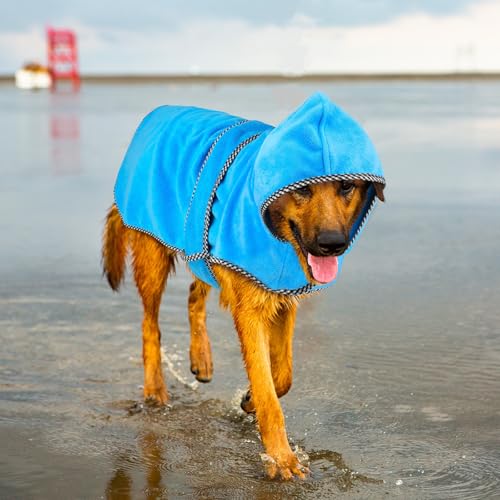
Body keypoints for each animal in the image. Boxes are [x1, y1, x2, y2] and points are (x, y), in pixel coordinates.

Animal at [100, 94, 382, 480]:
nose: (332, 244)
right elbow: (269, 390)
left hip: (202, 252)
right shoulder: (250, 310)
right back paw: (155, 388)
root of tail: (157, 114)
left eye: (346, 186)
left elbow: (283, 375)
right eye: (302, 189)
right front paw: (281, 458)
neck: (279, 234)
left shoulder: (284, 300)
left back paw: (201, 357)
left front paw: (248, 401)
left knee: (193, 296)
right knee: (149, 325)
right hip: (153, 253)